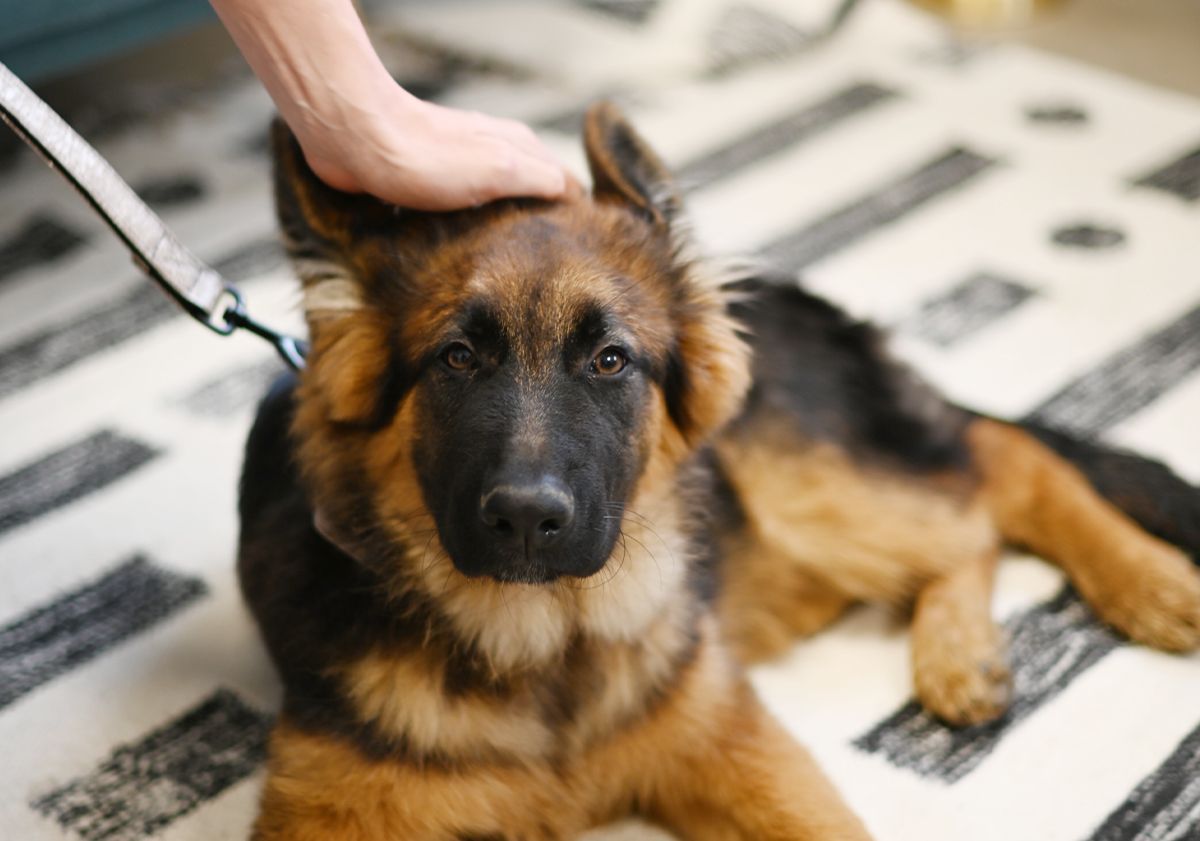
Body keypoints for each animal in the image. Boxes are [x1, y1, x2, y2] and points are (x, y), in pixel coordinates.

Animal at [238, 101, 1200, 835]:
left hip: (800, 482)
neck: (549, 644)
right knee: (973, 509)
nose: (525, 520)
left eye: (611, 361)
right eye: (457, 359)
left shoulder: (736, 747)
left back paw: (1141, 588)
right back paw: (965, 647)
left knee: (999, 472)